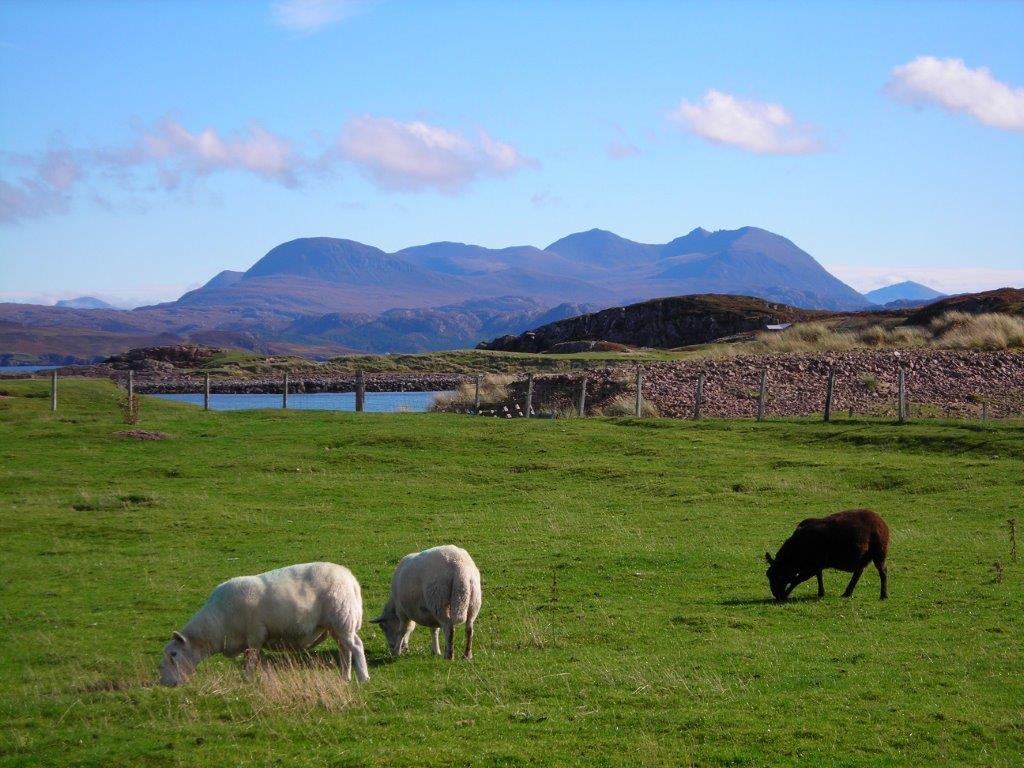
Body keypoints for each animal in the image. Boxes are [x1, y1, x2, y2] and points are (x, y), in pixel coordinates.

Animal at [157, 565, 370, 684]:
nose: (164, 683)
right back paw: (345, 677)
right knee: (345, 650)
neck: (218, 623)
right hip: (336, 626)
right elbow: (254, 659)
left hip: (342, 620)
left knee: (356, 646)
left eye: (173, 654)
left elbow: (251, 659)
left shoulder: (255, 635)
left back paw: (363, 678)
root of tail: (351, 580)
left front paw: (247, 679)